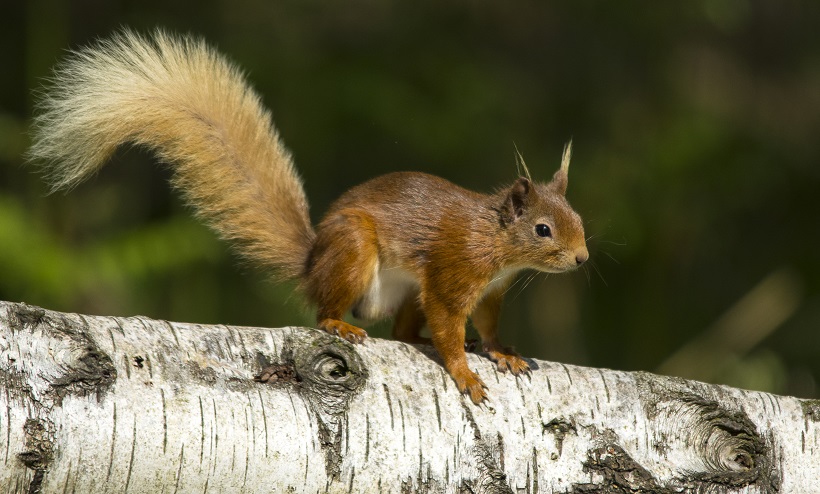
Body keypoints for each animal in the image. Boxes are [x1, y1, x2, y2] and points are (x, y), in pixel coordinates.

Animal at [27, 29, 588, 404]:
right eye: (542, 229)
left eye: (579, 220)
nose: (582, 259)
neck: (498, 247)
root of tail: (312, 262)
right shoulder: (455, 272)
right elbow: (450, 324)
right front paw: (466, 374)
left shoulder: (492, 290)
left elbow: (487, 325)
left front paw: (500, 351)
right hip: (354, 253)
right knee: (331, 313)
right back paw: (341, 326)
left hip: (404, 290)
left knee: (404, 333)